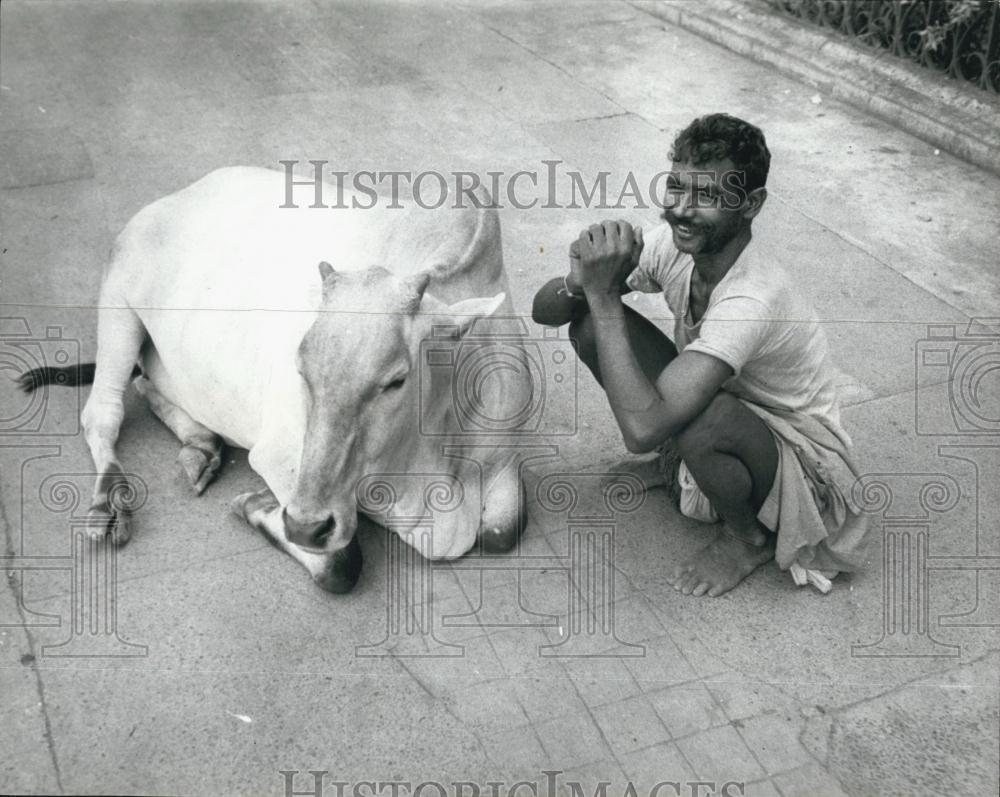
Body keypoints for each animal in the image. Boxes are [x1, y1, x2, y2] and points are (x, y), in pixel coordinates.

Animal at [27, 166, 536, 592]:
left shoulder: (504, 460)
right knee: (103, 411)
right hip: (118, 300)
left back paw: (200, 445)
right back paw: (109, 502)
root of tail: (179, 196)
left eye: (396, 381)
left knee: (143, 385)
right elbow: (340, 565)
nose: (306, 525)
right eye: (301, 371)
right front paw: (256, 505)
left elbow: (501, 532)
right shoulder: (281, 460)